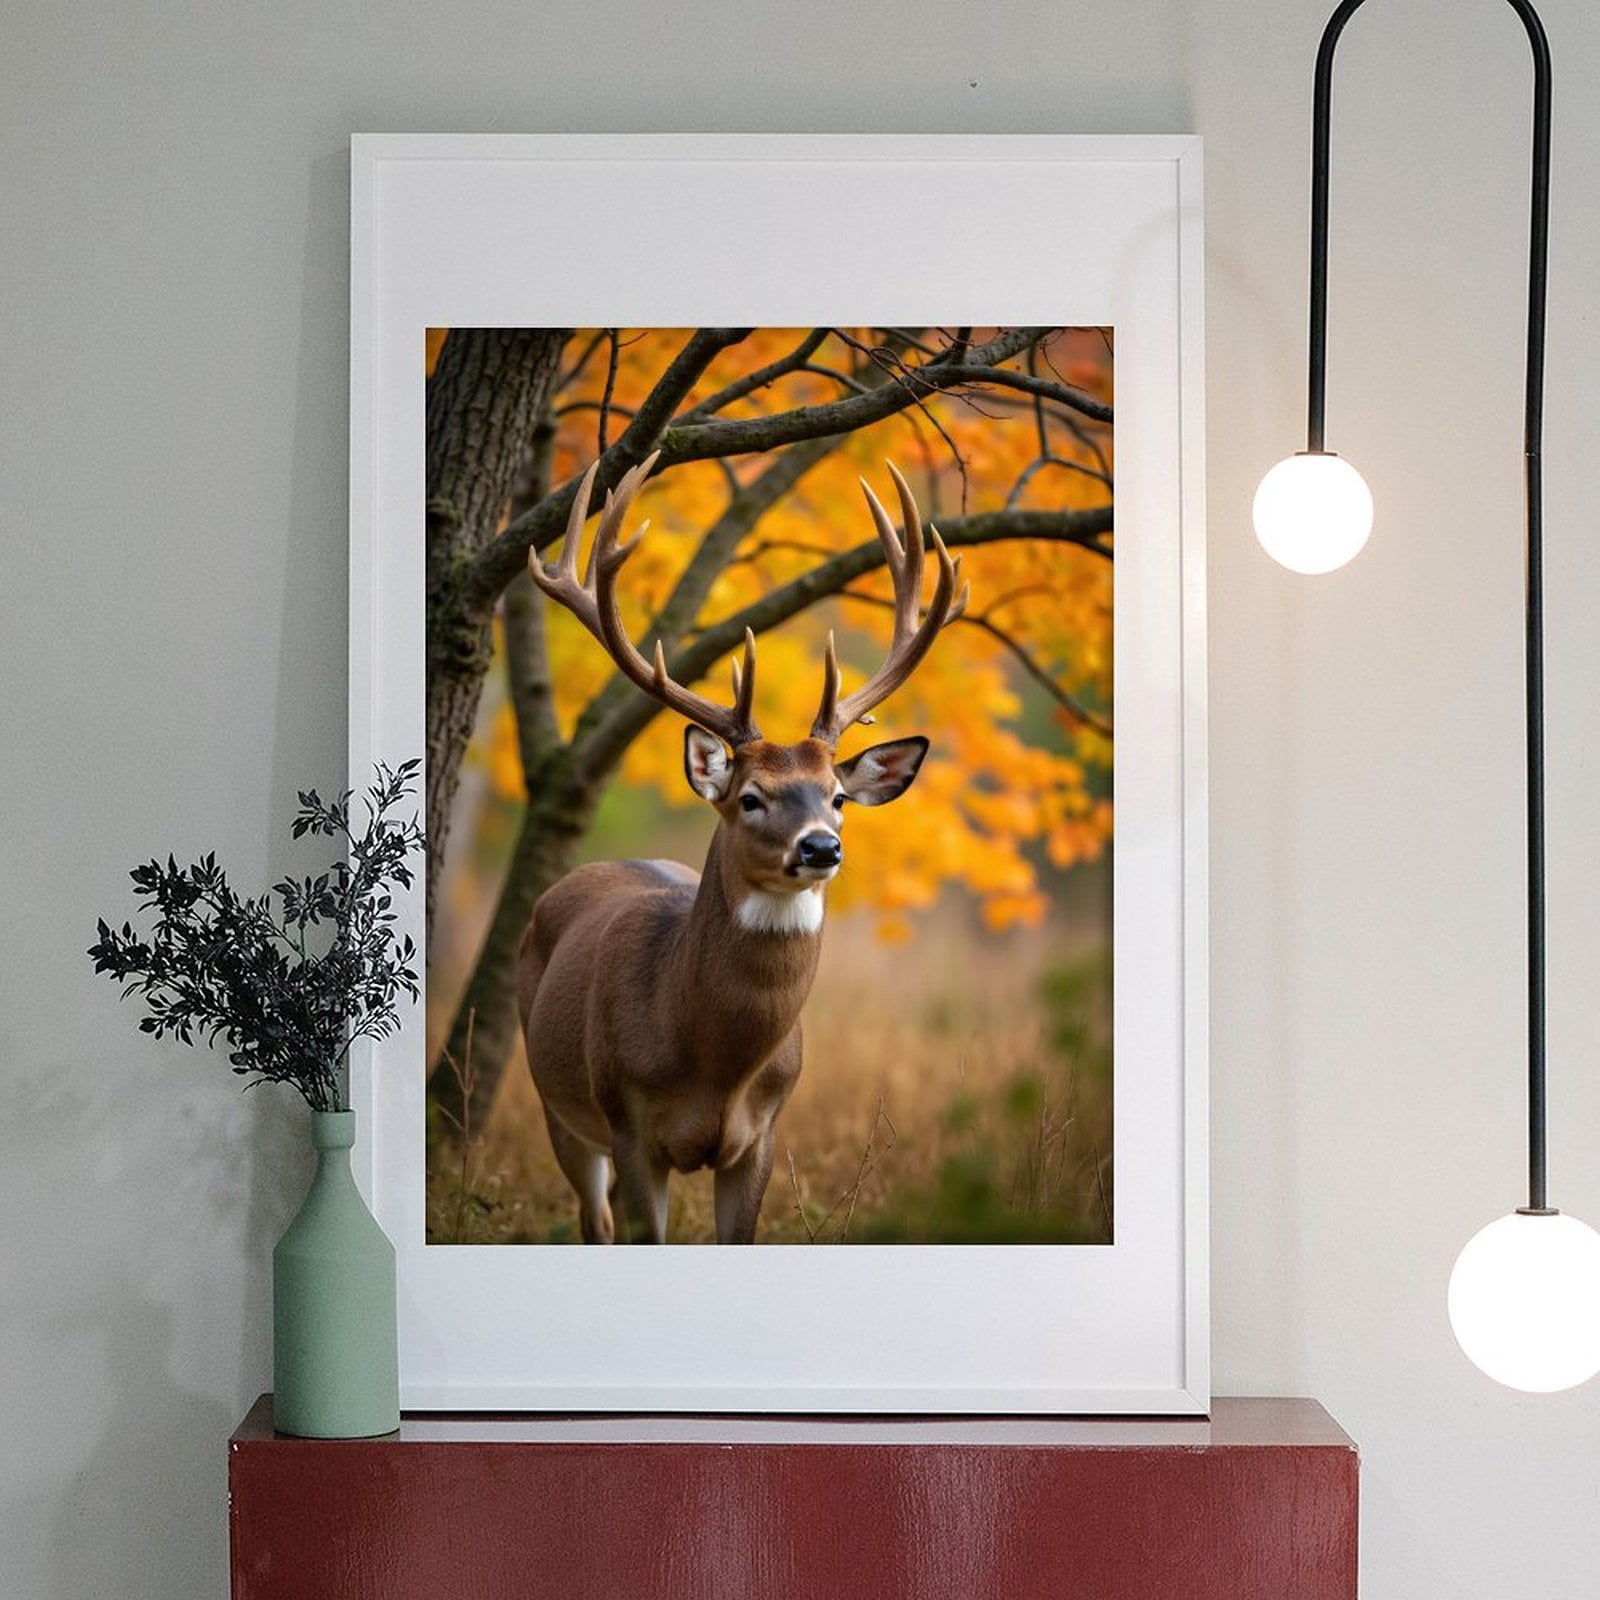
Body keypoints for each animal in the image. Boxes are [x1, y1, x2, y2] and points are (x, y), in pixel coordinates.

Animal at [518, 451, 967, 1243]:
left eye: (838, 797)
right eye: (750, 797)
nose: (821, 848)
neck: (713, 1062)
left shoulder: (760, 1137)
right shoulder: (632, 1127)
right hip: (559, 1105)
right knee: (593, 1220)